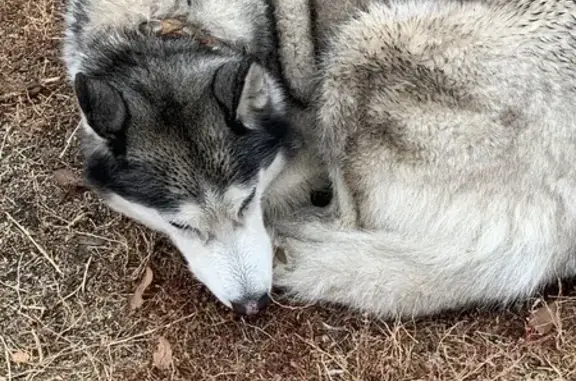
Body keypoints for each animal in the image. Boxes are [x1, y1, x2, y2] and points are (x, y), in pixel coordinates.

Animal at [64, 0, 576, 318]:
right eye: (181, 225)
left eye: (246, 201)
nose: (252, 305)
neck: (164, 20)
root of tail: (554, 240)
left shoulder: (299, 149)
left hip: (362, 45)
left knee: (350, 219)